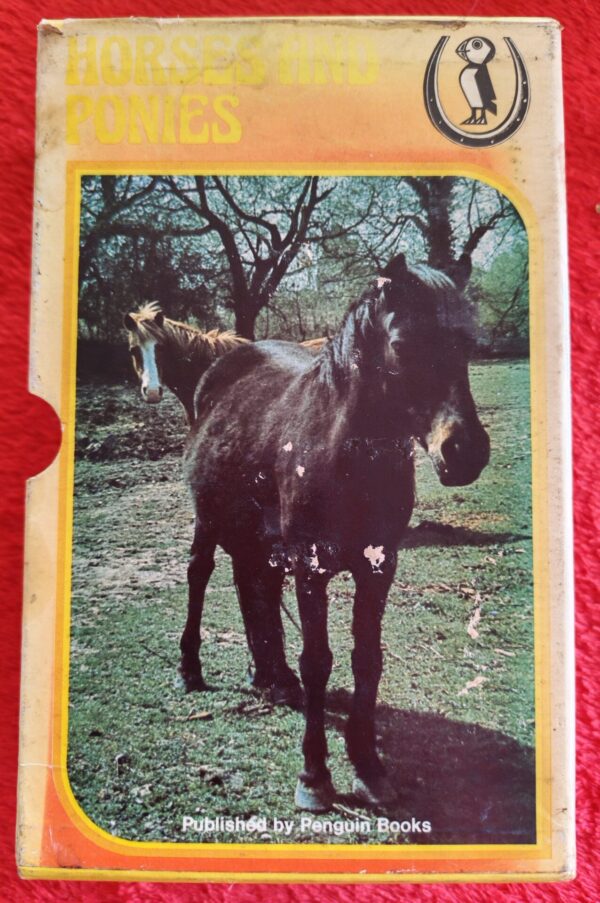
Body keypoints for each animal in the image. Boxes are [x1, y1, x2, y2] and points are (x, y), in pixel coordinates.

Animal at [182, 252, 490, 812]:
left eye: (468, 345)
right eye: (401, 345)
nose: (465, 452)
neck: (345, 454)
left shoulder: (378, 567)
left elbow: (367, 660)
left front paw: (368, 766)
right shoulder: (311, 566)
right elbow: (319, 661)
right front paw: (315, 776)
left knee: (254, 586)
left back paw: (270, 676)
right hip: (208, 519)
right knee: (201, 575)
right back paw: (191, 670)